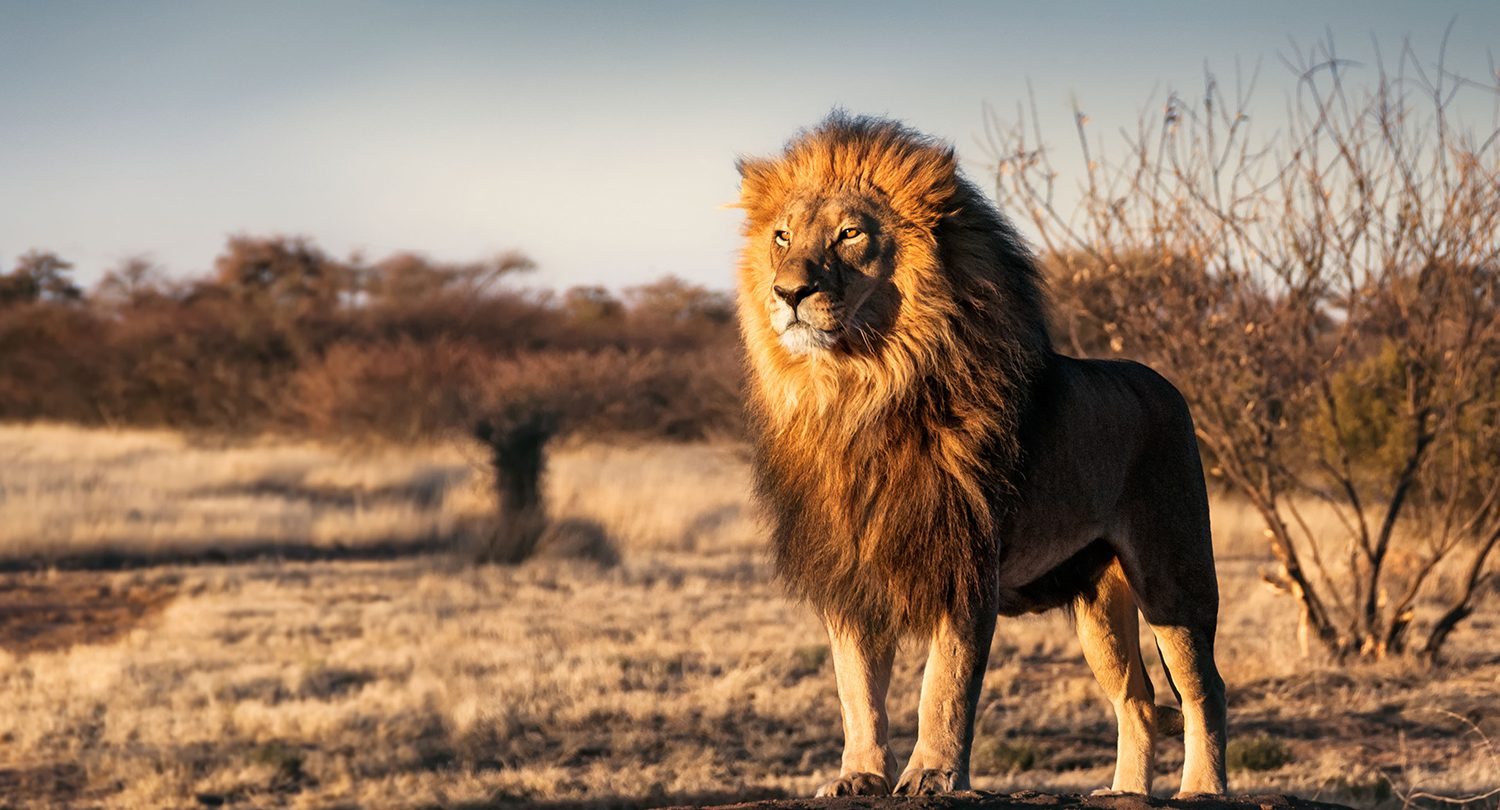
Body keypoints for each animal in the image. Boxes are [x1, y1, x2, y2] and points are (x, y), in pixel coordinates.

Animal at [732, 114, 1224, 798]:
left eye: (850, 234)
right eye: (781, 236)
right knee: (1138, 698)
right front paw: (860, 776)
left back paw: (1203, 789)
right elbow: (857, 690)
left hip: (1173, 576)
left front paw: (932, 775)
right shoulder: (849, 571)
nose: (788, 291)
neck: (860, 391)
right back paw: (1124, 793)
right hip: (1099, 601)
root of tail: (1166, 385)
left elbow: (945, 684)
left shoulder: (966, 561)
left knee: (1205, 688)